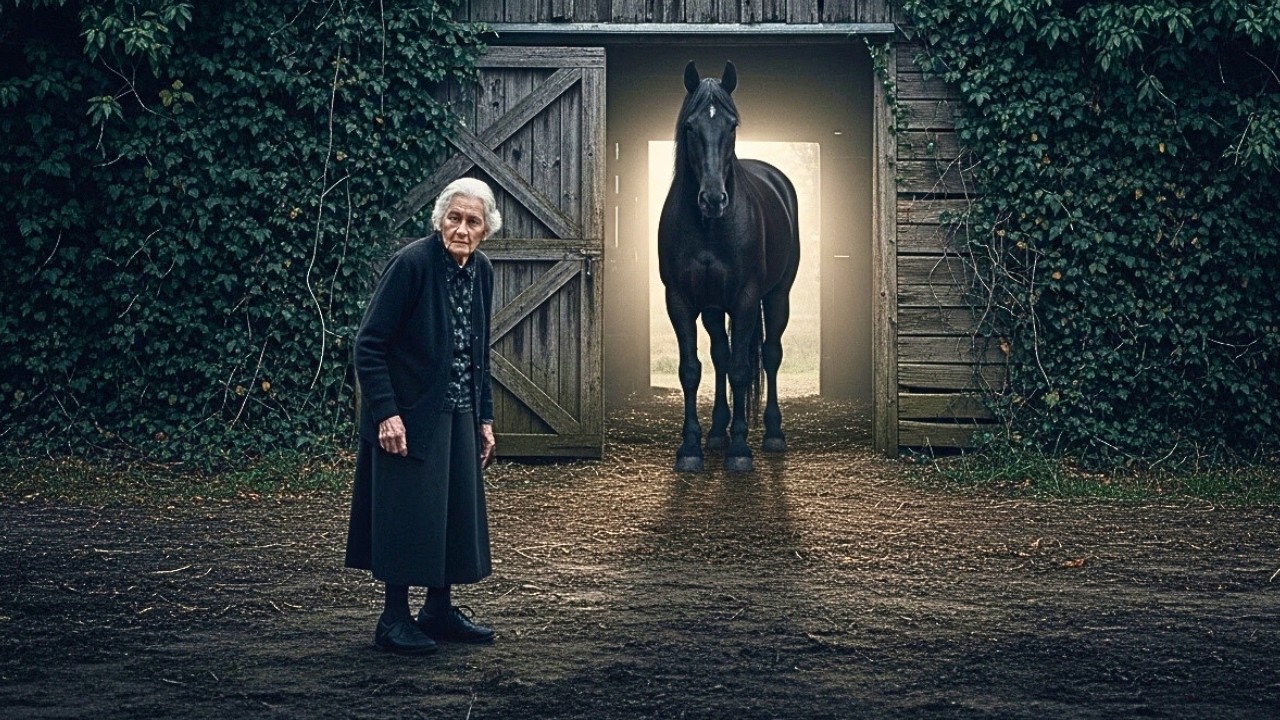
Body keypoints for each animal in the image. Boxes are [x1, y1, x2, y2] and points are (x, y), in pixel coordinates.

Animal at [657, 60, 801, 472]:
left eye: (732, 125)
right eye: (690, 126)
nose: (713, 199)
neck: (710, 229)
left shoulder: (747, 299)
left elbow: (741, 370)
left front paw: (740, 450)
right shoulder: (680, 301)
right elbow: (692, 370)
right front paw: (690, 447)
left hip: (778, 296)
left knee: (770, 354)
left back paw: (771, 433)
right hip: (711, 307)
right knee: (720, 355)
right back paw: (717, 432)